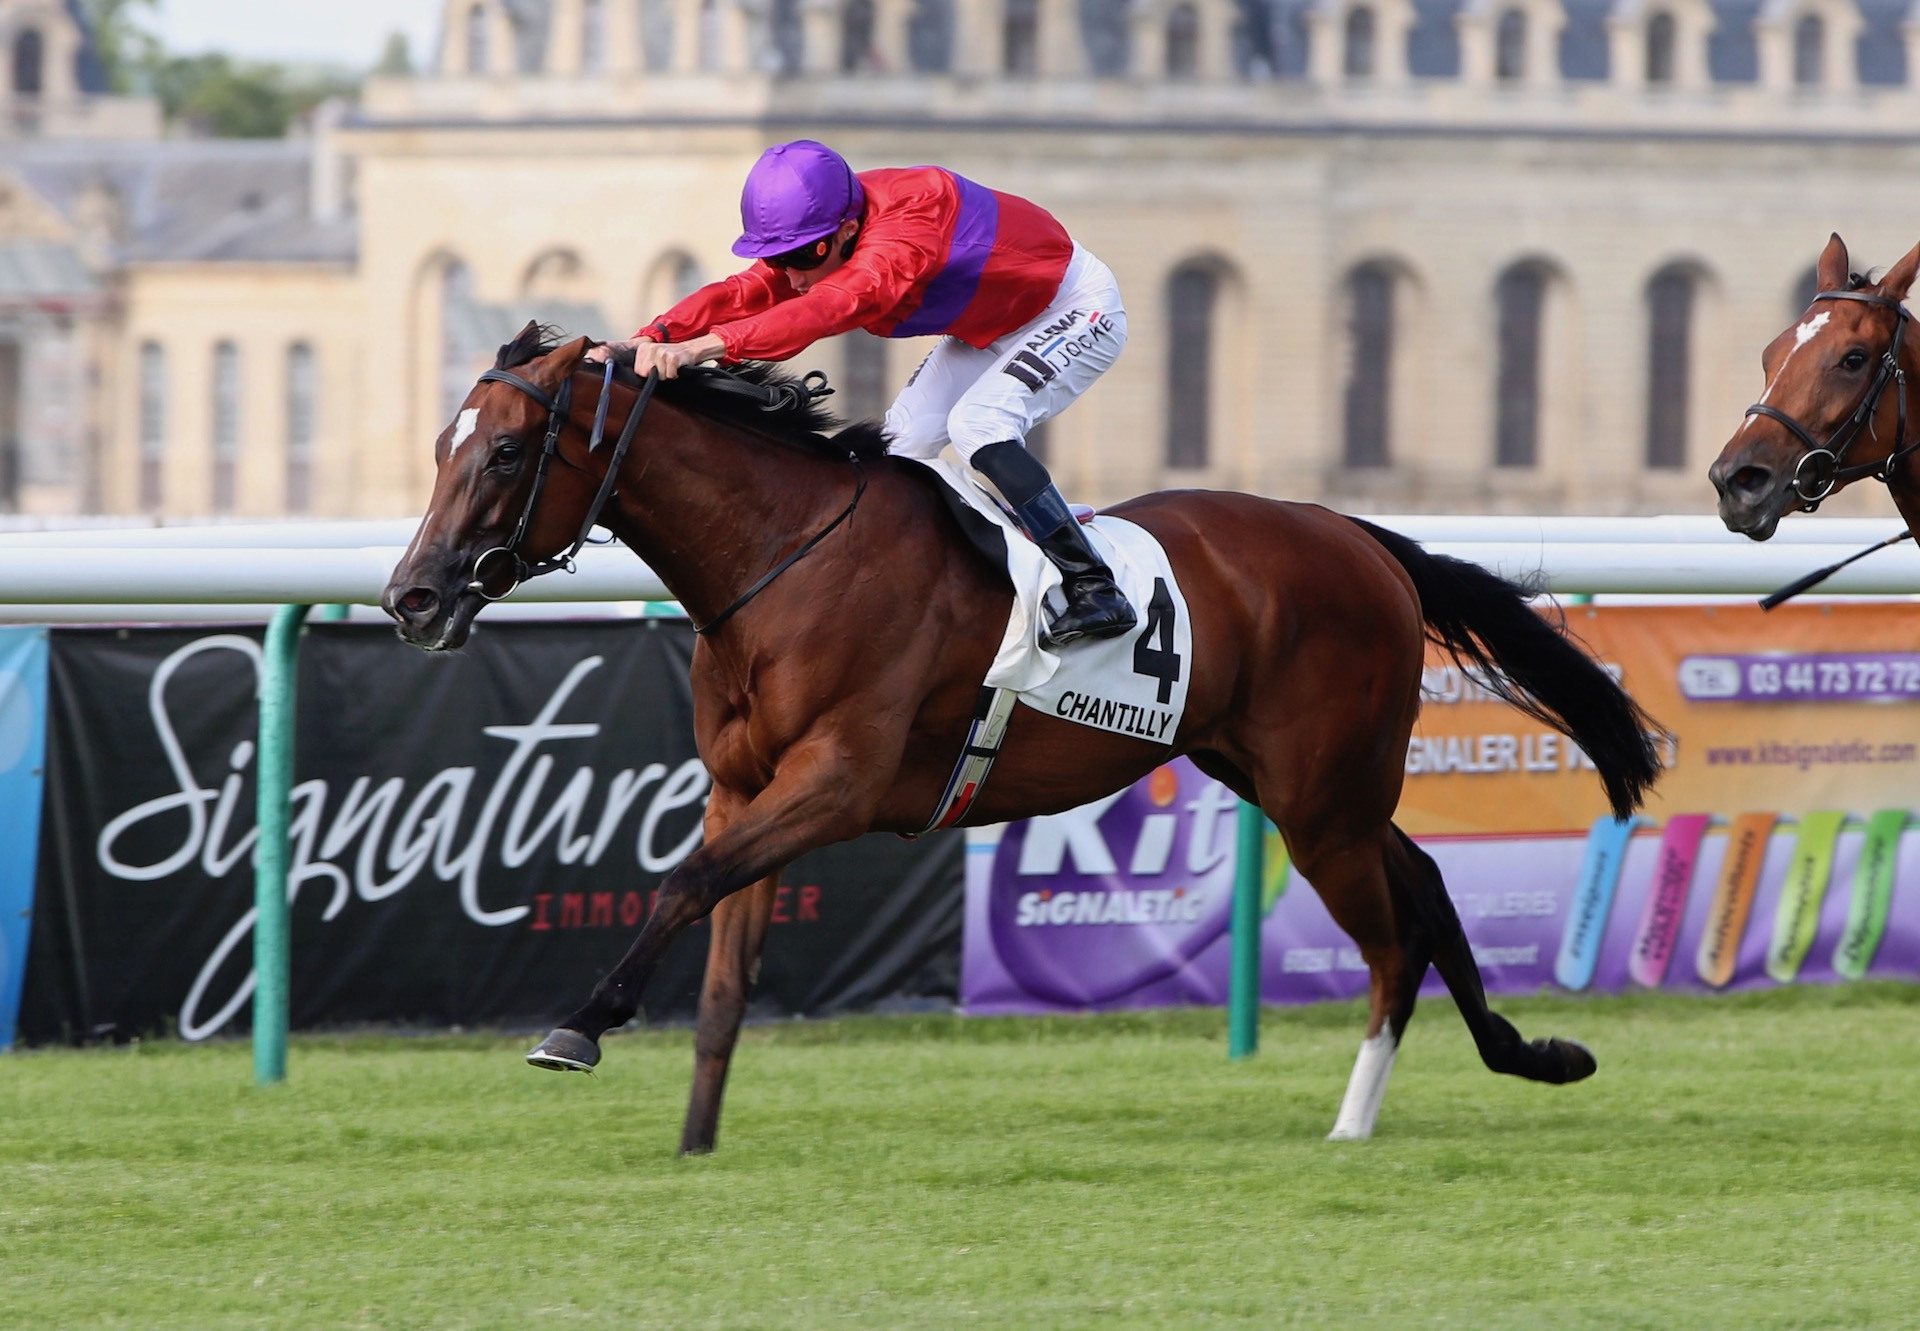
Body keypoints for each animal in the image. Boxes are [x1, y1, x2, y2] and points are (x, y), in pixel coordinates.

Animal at [382, 324, 1658, 1152]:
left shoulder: (837, 783)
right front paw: (696, 1141)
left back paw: (1355, 1118)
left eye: (505, 452)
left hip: (1320, 798)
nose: (412, 597)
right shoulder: (746, 790)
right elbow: (723, 977)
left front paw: (578, 1026)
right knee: (1429, 882)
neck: (780, 558)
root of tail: (1358, 536)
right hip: (1293, 779)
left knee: (1395, 938)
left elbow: (683, 884)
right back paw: (1533, 1052)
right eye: (440, 445)